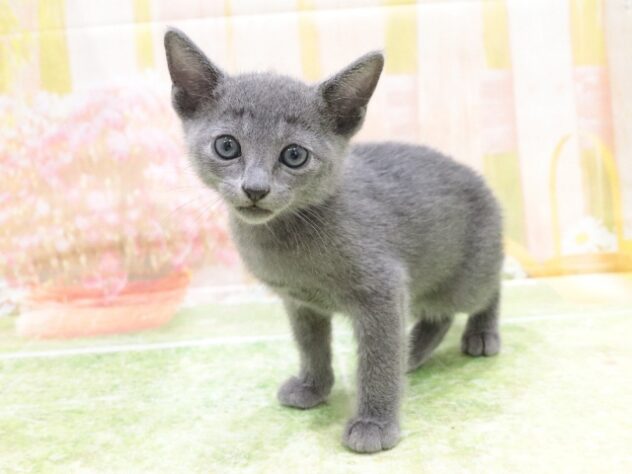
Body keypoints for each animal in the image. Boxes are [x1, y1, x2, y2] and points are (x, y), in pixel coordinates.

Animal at [164, 28, 503, 454]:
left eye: (294, 155)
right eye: (227, 146)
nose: (255, 188)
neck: (288, 238)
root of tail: (479, 179)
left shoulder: (384, 290)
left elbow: (378, 360)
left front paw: (374, 423)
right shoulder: (300, 302)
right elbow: (311, 346)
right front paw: (313, 387)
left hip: (467, 279)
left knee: (488, 289)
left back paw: (481, 334)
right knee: (437, 317)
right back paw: (412, 352)